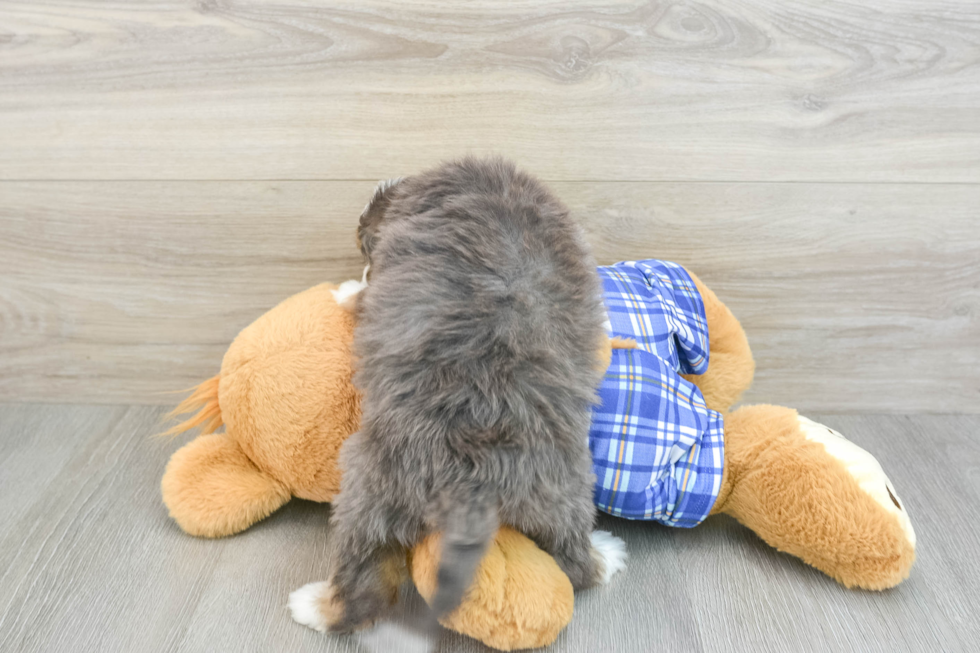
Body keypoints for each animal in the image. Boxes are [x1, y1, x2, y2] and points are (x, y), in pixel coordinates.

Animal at [290, 157, 628, 636]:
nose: (361, 257)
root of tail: (475, 477)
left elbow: (363, 297)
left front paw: (346, 290)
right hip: (563, 492)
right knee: (572, 561)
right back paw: (602, 557)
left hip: (368, 490)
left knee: (362, 581)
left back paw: (316, 608)